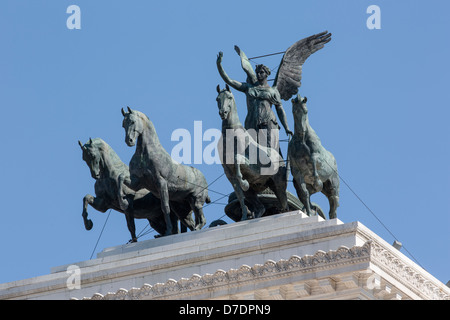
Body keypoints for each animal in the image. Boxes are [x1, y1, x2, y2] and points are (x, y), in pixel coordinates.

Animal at [120, 107, 210, 235]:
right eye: (123, 124)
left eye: (132, 121)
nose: (129, 141)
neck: (145, 154)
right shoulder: (137, 182)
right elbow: (121, 177)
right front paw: (123, 202)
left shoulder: (161, 182)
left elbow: (165, 207)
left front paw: (168, 231)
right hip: (183, 210)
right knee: (192, 223)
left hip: (197, 201)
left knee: (202, 220)